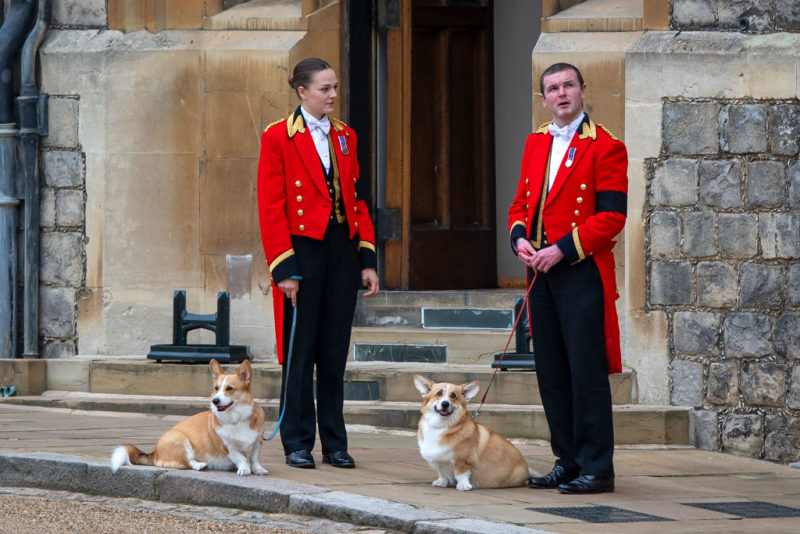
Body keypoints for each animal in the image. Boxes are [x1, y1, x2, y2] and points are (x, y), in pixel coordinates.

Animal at [109, 360, 268, 478]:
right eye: (216, 388)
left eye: (229, 388)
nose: (215, 401)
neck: (236, 418)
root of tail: (154, 453)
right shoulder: (228, 447)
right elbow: (241, 458)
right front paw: (244, 469)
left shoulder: (257, 443)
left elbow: (254, 458)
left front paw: (258, 469)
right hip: (182, 441)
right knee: (188, 462)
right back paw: (200, 465)